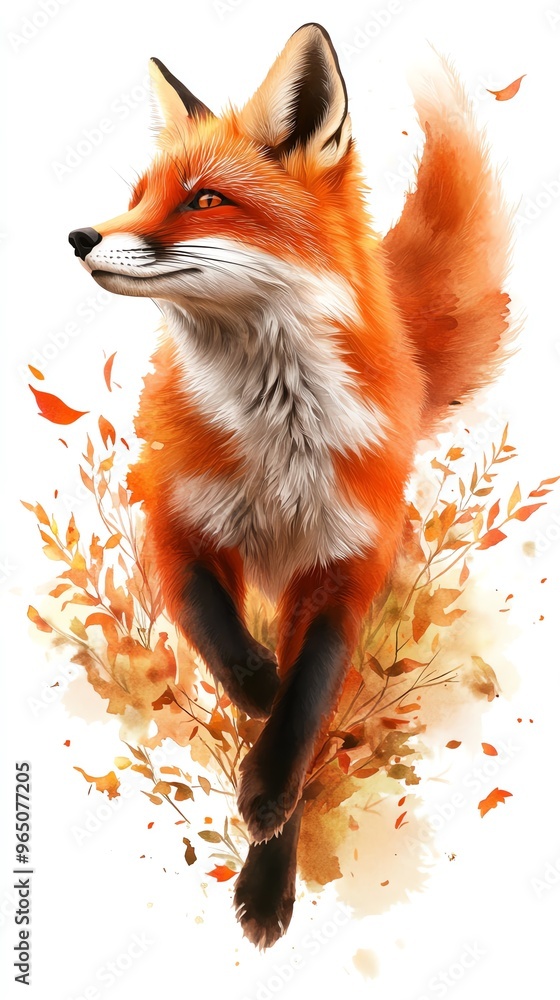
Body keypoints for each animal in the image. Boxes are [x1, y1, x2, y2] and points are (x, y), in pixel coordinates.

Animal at [68, 23, 512, 948]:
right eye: (138, 196)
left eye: (203, 200)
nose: (80, 236)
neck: (280, 448)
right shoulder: (178, 529)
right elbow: (227, 646)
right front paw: (257, 688)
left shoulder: (346, 569)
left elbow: (305, 719)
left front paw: (269, 857)